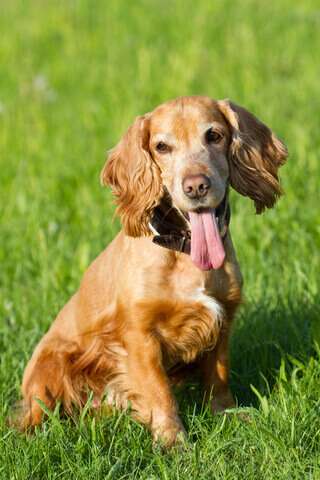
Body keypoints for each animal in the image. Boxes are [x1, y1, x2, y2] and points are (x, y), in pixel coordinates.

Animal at [18, 96, 286, 446]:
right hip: (51, 366)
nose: (196, 186)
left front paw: (228, 415)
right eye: (162, 146)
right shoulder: (139, 335)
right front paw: (173, 440)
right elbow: (159, 392)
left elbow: (219, 376)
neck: (184, 253)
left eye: (214, 135)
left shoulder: (223, 318)